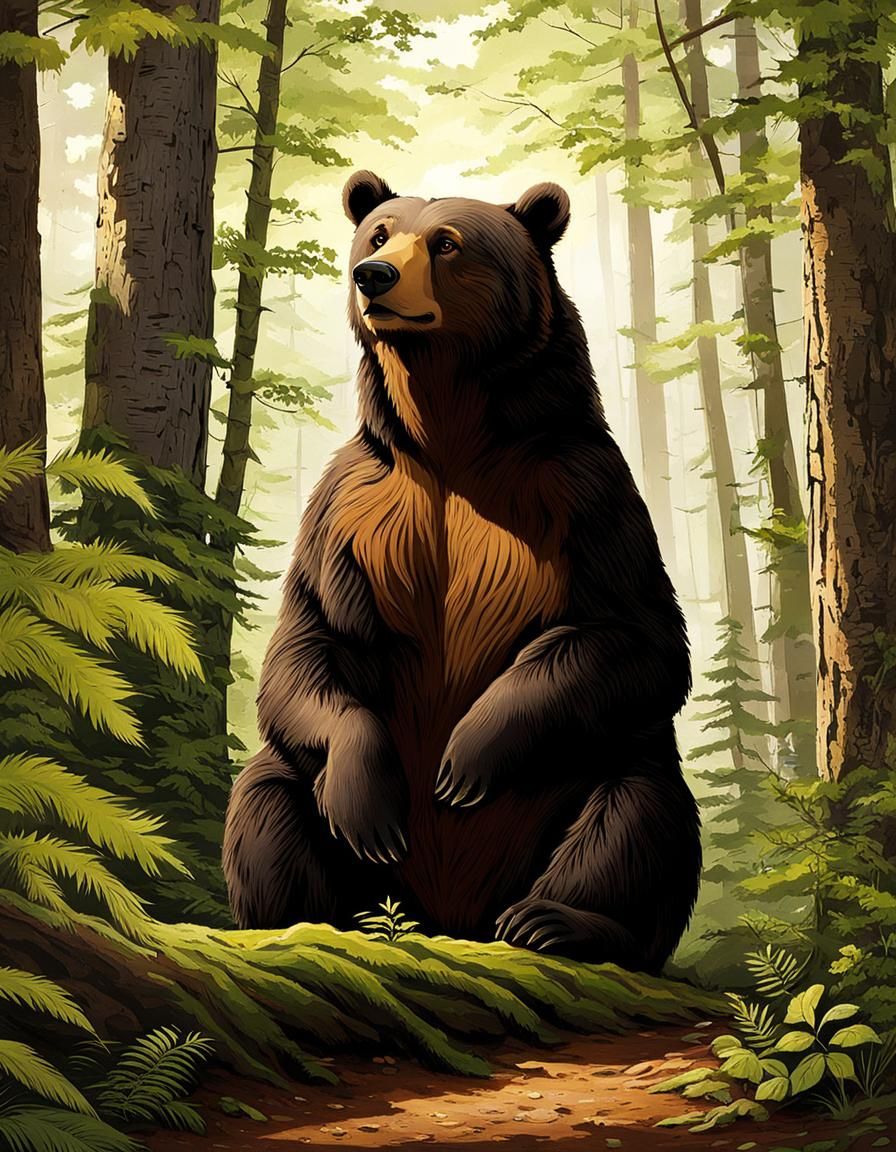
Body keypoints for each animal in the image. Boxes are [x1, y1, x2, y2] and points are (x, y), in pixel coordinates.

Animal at [222, 170, 701, 972]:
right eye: (380, 231)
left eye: (447, 242)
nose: (373, 276)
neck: (450, 443)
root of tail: (447, 919)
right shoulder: (352, 512)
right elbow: (309, 645)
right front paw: (371, 804)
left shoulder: (583, 495)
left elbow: (636, 637)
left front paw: (465, 757)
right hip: (337, 839)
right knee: (267, 792)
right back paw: (310, 922)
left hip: (589, 780)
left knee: (639, 805)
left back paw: (557, 922)